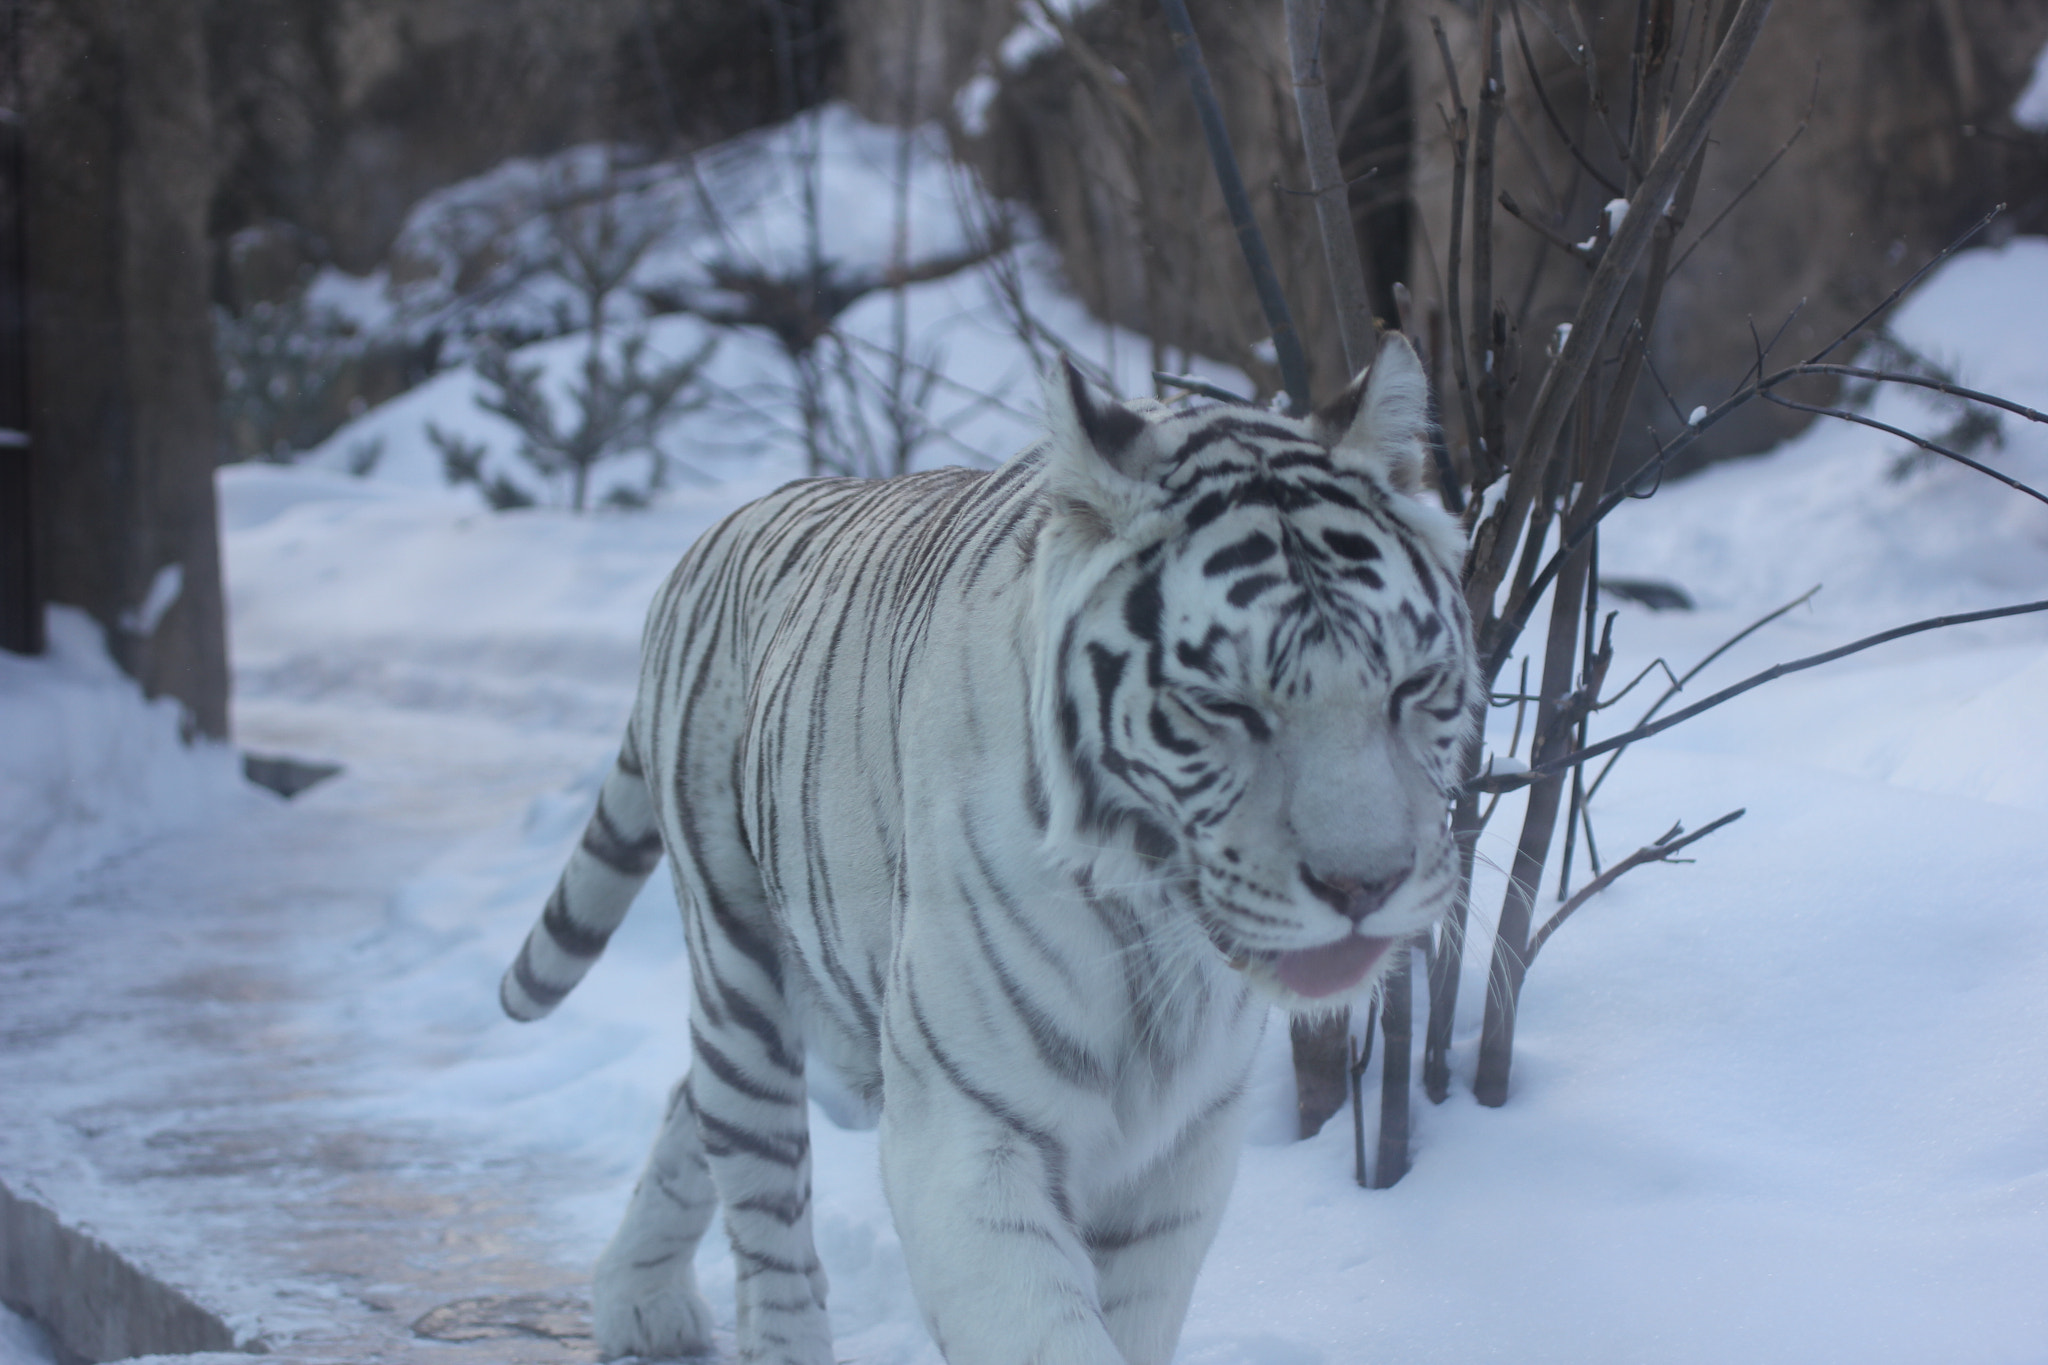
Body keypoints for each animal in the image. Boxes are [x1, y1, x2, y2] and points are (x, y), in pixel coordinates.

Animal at [503, 333, 1482, 1365]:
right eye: (1223, 705)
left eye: (1412, 685)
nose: (1365, 884)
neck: (1153, 928)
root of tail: (725, 525)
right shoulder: (966, 1126)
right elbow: (1046, 1330)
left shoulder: (1185, 1148)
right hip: (739, 964)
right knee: (760, 1190)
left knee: (686, 1103)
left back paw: (639, 1296)